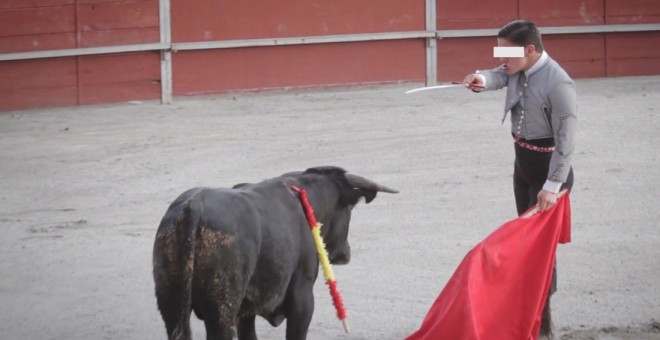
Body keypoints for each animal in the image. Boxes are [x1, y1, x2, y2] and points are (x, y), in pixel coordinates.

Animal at [153, 166, 398, 338]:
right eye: (349, 209)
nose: (345, 253)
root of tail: (193, 207)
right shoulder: (302, 297)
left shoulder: (245, 313)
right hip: (222, 311)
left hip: (170, 305)